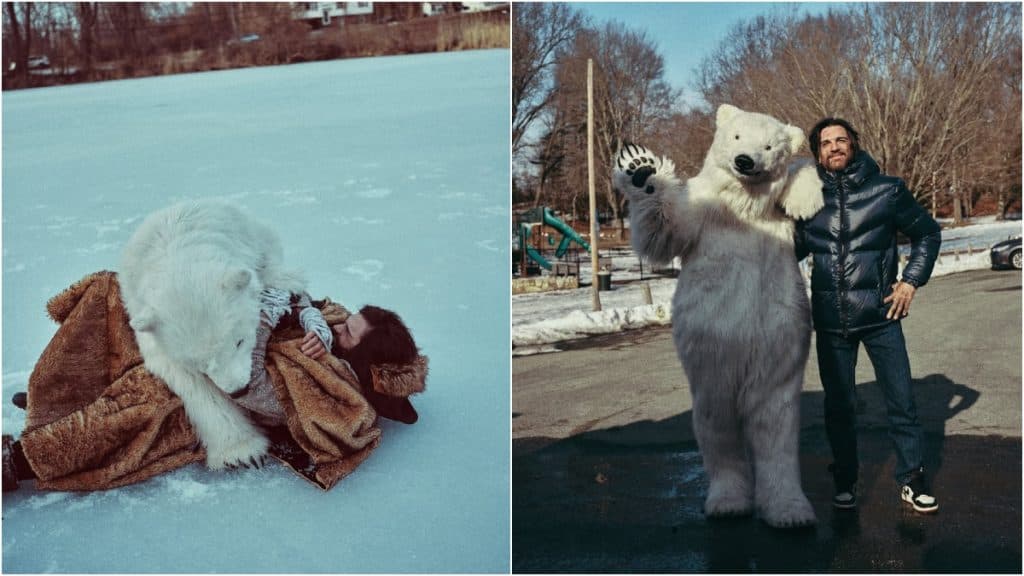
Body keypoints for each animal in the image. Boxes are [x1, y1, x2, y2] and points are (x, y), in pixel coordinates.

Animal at [119, 200, 306, 470]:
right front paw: (243, 453)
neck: (180, 252)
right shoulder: (151, 331)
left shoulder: (248, 241)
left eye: (239, 341)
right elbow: (193, 385)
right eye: (198, 364)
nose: (239, 390)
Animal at [613, 104, 824, 528]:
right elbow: (664, 235)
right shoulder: (699, 212)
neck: (741, 207)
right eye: (738, 136)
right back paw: (728, 502)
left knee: (773, 416)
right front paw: (642, 169)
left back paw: (789, 511)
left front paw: (807, 196)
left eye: (769, 145)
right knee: (717, 416)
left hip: (780, 336)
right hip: (709, 346)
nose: (744, 161)